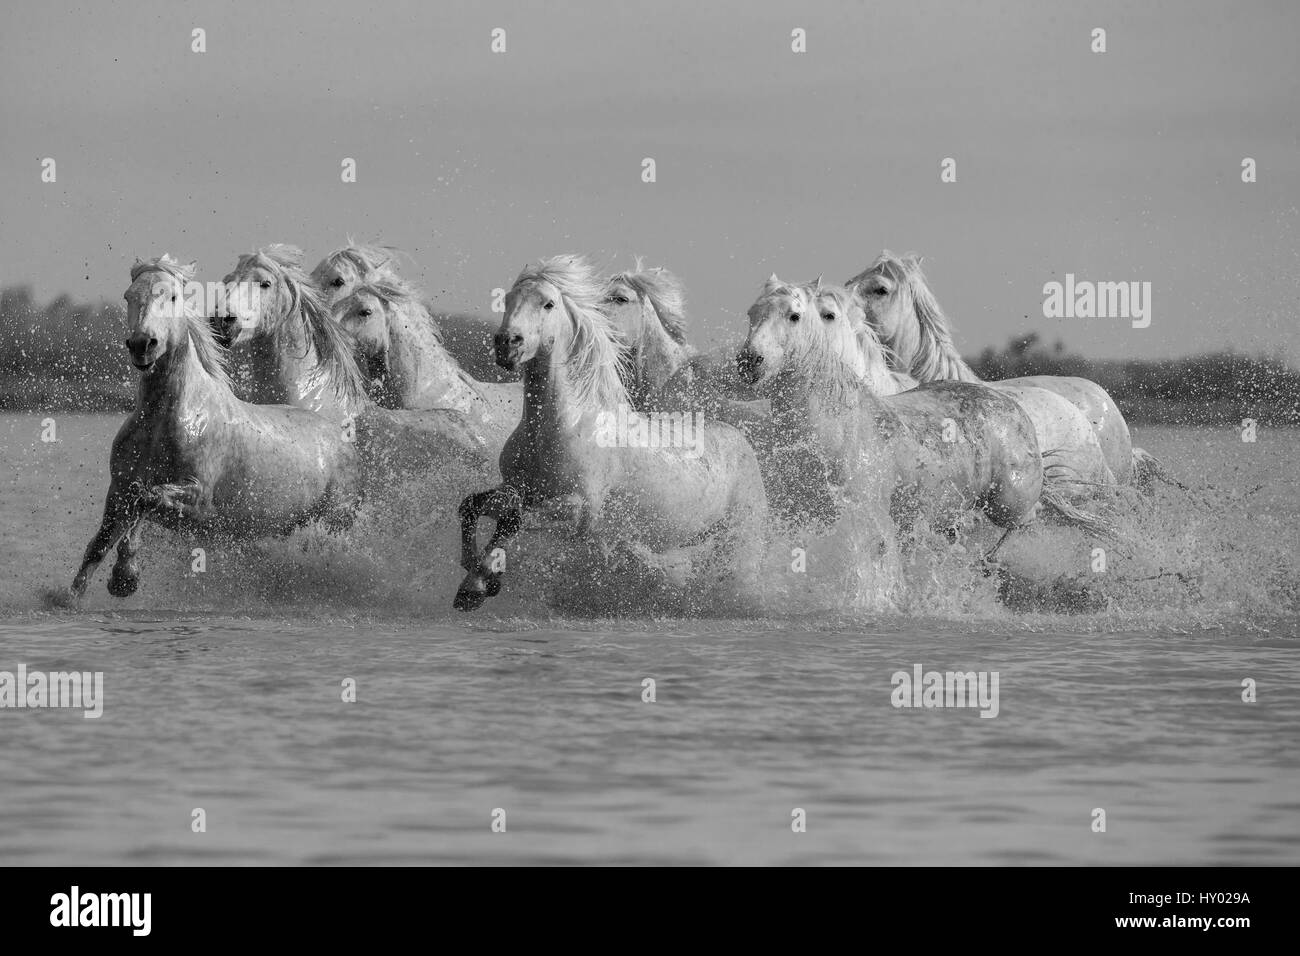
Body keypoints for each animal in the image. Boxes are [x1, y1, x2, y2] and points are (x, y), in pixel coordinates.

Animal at [70, 256, 361, 599]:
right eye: (129, 296)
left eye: (172, 297)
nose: (142, 344)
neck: (164, 421)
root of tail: (344, 440)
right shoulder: (118, 487)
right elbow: (100, 542)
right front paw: (72, 596)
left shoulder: (199, 498)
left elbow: (147, 498)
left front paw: (124, 577)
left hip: (335, 520)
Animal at [453, 255, 768, 612]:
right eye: (507, 300)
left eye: (548, 303)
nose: (507, 344)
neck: (558, 426)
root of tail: (742, 441)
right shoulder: (518, 487)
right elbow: (473, 506)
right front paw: (474, 579)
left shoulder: (581, 512)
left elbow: (514, 518)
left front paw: (480, 583)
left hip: (739, 541)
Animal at [737, 276, 1114, 550]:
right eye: (751, 313)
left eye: (795, 315)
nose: (748, 361)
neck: (835, 426)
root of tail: (1013, 408)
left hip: (1010, 503)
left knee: (1031, 517)